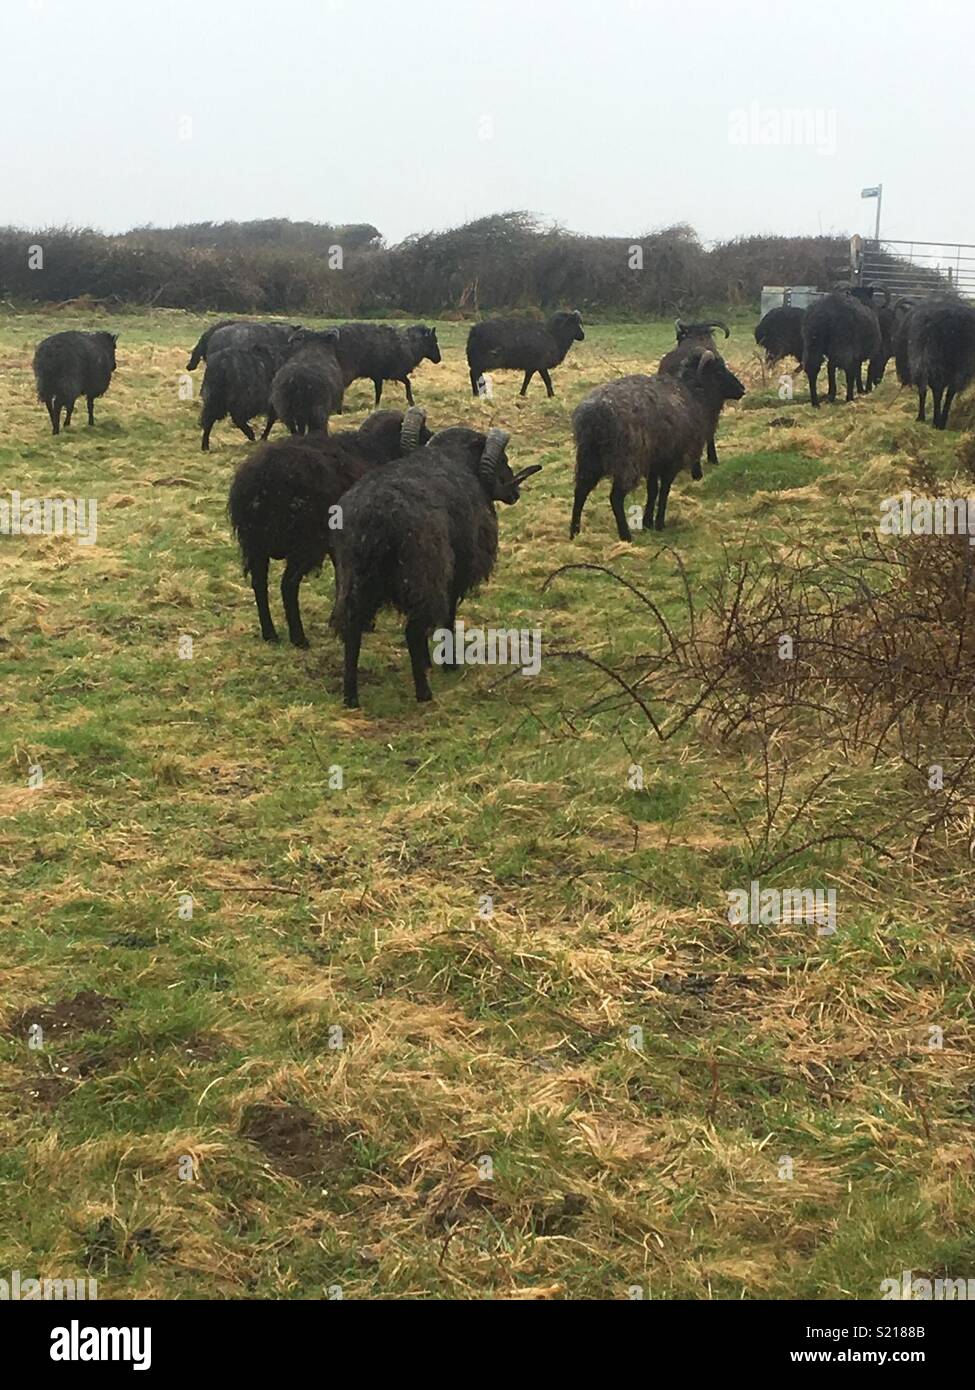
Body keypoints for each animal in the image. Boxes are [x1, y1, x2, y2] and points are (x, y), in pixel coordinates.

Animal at [228, 400, 428, 642]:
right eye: (424, 432)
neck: (375, 451)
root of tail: (261, 478)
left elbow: (341, 577)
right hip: (305, 543)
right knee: (288, 584)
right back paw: (299, 638)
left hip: (255, 542)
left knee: (259, 582)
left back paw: (270, 634)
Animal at [331, 425, 545, 706]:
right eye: (503, 459)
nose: (515, 494)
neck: (454, 457)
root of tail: (376, 516)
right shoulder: (455, 574)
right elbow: (448, 617)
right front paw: (449, 663)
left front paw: (427, 663)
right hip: (424, 573)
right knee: (412, 630)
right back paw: (424, 693)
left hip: (354, 578)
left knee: (352, 628)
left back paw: (351, 697)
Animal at [570, 347, 745, 542]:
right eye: (719, 371)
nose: (742, 389)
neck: (694, 394)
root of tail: (594, 414)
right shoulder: (672, 460)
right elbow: (664, 491)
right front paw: (660, 523)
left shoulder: (655, 460)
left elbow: (652, 490)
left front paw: (647, 523)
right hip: (627, 460)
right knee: (615, 497)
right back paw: (625, 535)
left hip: (589, 457)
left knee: (580, 491)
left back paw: (574, 532)